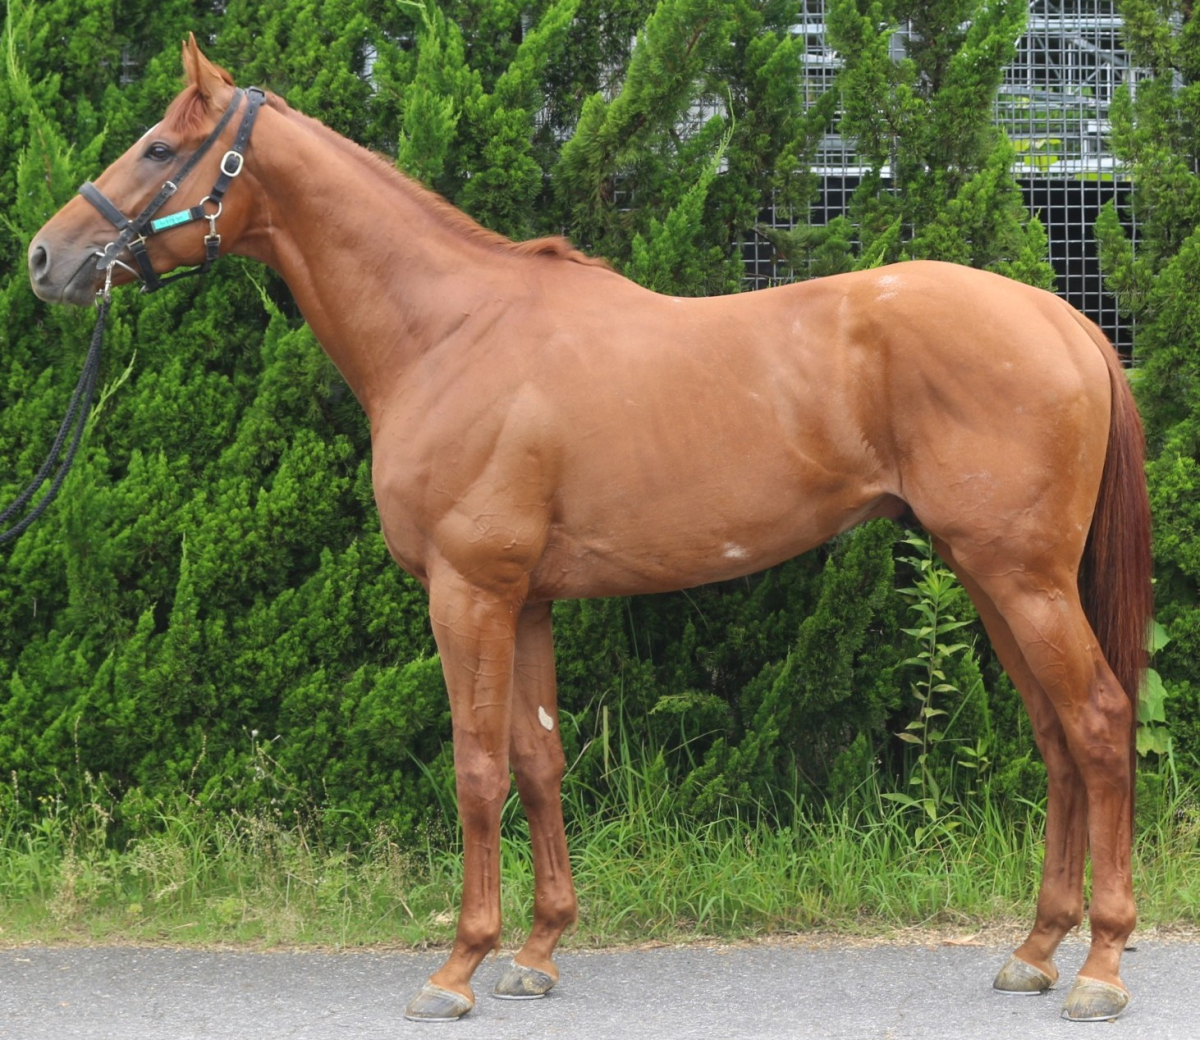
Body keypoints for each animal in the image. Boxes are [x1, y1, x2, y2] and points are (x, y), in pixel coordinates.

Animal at [28, 36, 1152, 1024]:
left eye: (159, 148)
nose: (46, 258)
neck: (450, 333)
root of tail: (1062, 316)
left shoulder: (468, 592)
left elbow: (477, 768)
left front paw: (457, 967)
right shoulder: (524, 601)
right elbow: (538, 761)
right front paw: (536, 952)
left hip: (1022, 576)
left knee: (1098, 722)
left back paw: (1100, 964)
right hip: (988, 573)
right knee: (1055, 736)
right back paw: (1035, 950)